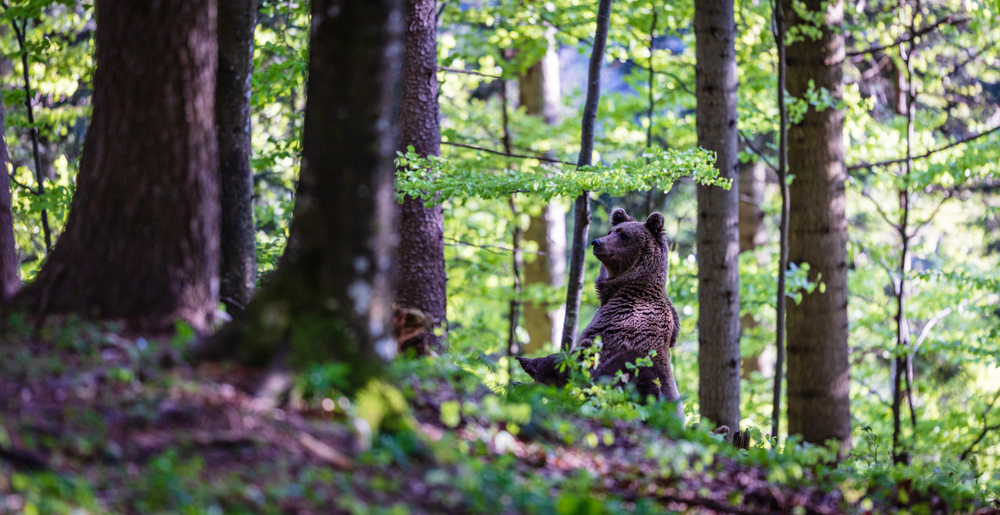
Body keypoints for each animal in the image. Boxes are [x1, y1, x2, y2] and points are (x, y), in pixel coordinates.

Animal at [519, 208, 684, 420]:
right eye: (610, 231)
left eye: (623, 234)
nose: (596, 242)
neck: (628, 288)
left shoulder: (617, 325)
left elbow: (577, 359)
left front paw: (528, 366)